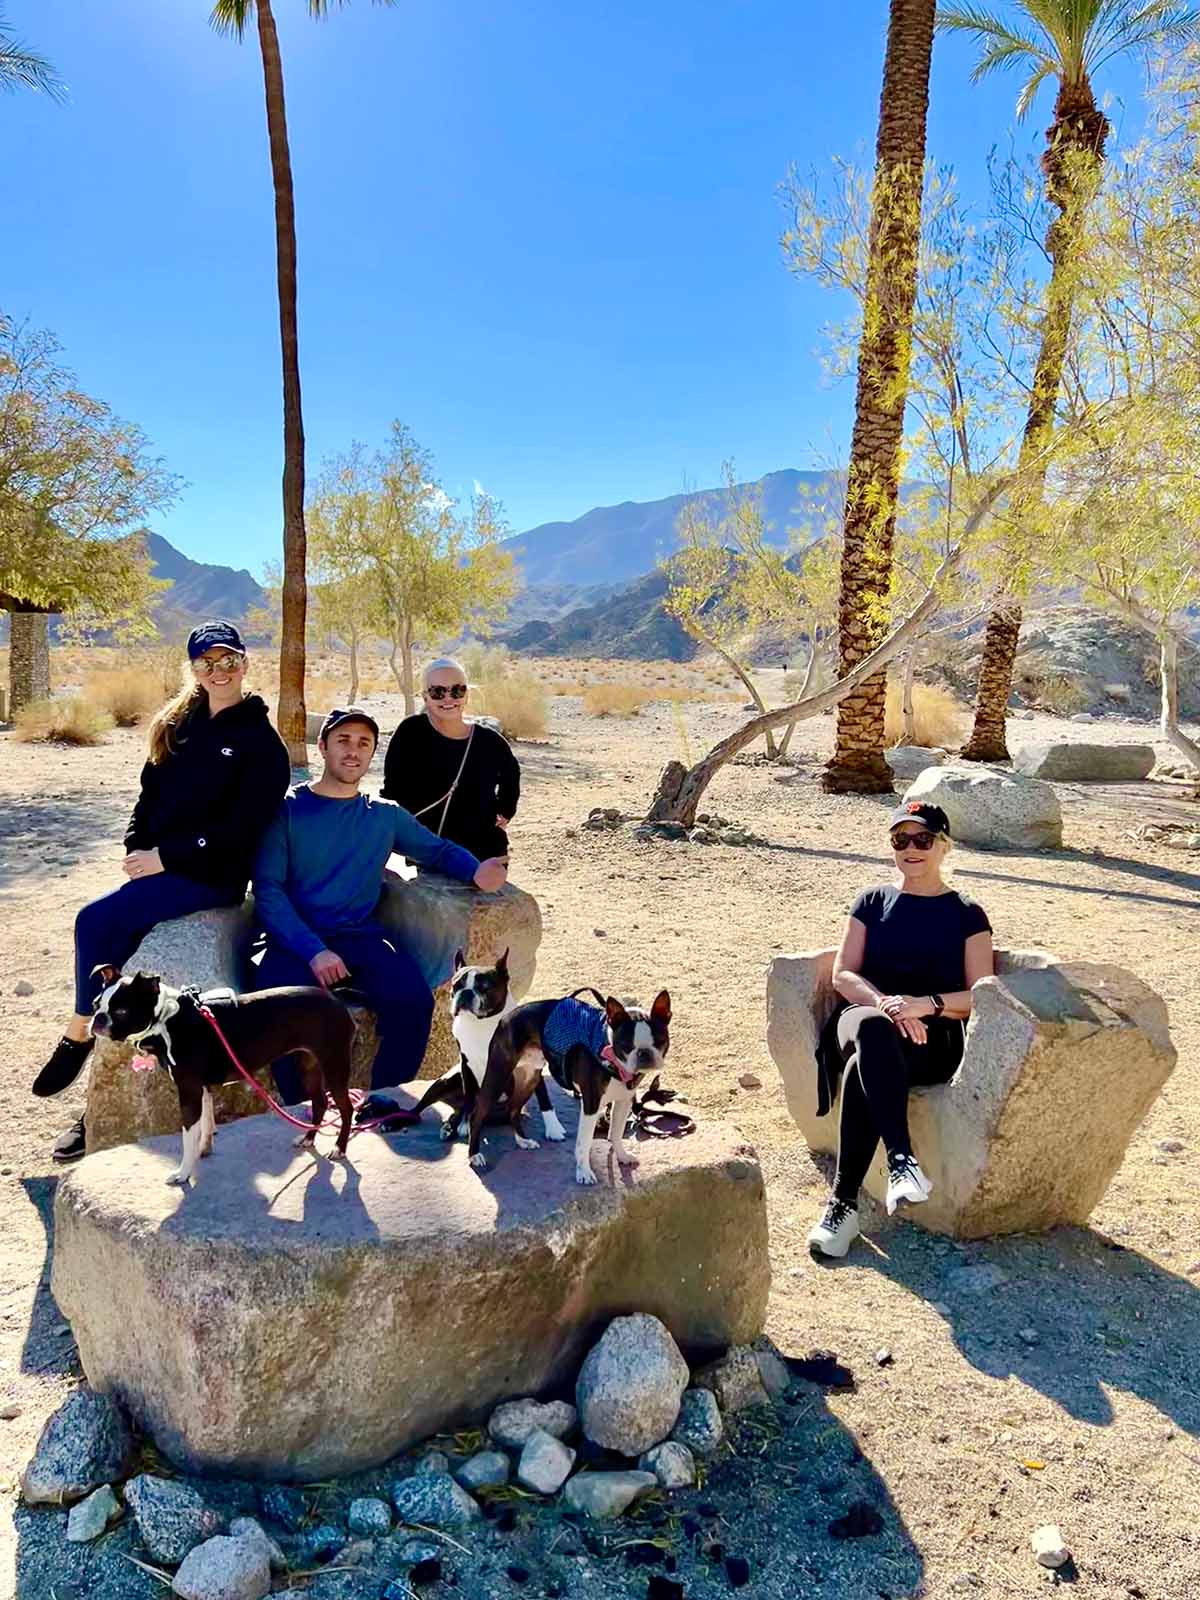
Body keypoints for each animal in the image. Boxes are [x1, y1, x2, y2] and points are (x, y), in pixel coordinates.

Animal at [88, 966, 356, 1186]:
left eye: (121, 1011)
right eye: (95, 1004)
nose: (98, 1019)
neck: (167, 1019)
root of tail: (337, 999)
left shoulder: (189, 1091)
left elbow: (189, 1135)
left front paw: (183, 1173)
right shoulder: (203, 1088)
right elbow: (207, 1124)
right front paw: (204, 1151)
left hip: (334, 1065)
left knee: (346, 1108)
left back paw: (339, 1148)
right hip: (308, 1065)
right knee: (320, 1102)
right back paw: (309, 1139)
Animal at [410, 950, 566, 1146]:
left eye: (484, 987)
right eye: (455, 986)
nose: (466, 993)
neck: (480, 1023)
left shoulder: (532, 1066)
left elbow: (544, 1096)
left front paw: (554, 1129)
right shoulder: (466, 1065)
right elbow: (469, 1095)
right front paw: (464, 1124)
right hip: (444, 1081)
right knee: (421, 1109)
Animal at [467, 988, 671, 1183]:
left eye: (661, 1041)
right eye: (626, 1045)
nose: (644, 1053)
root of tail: (506, 1017)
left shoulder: (624, 1100)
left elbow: (616, 1132)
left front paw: (621, 1156)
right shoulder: (591, 1103)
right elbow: (584, 1142)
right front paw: (584, 1173)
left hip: (530, 1077)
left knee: (513, 1107)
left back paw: (523, 1141)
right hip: (498, 1075)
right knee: (477, 1113)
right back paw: (475, 1155)